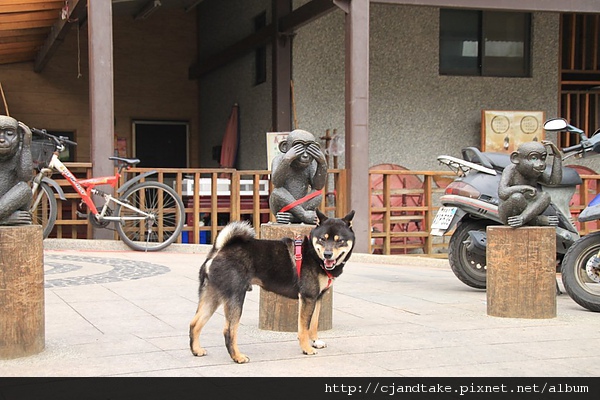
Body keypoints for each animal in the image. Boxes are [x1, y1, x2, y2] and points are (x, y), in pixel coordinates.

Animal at [190, 209, 354, 362]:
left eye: (340, 241)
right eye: (322, 239)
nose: (327, 254)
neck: (314, 255)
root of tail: (219, 250)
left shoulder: (317, 297)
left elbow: (313, 323)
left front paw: (315, 341)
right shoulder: (308, 297)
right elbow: (304, 327)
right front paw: (307, 348)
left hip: (212, 295)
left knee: (195, 323)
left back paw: (196, 350)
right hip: (235, 297)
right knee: (229, 330)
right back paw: (237, 357)